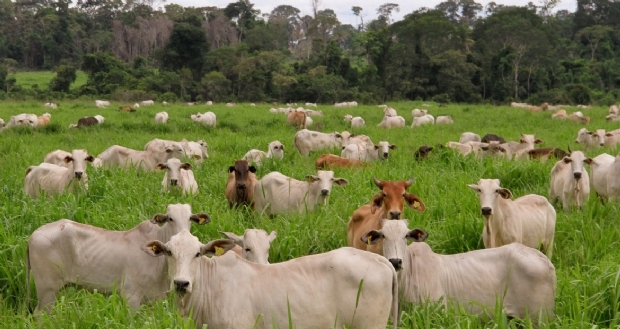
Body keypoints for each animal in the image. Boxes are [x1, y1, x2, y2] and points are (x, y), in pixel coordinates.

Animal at [27, 202, 211, 312]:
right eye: (170, 218)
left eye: (190, 219)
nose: (183, 234)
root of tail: (33, 235)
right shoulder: (131, 296)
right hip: (47, 290)